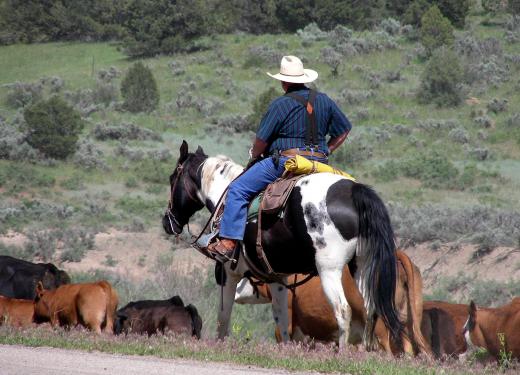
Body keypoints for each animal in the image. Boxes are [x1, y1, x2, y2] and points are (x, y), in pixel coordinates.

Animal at [162, 141, 402, 350]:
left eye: (172, 178)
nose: (167, 222)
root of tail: (354, 192)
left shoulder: (227, 273)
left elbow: (223, 317)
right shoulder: (276, 278)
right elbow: (282, 321)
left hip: (329, 269)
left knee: (343, 310)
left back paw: (342, 354)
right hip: (361, 266)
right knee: (369, 308)